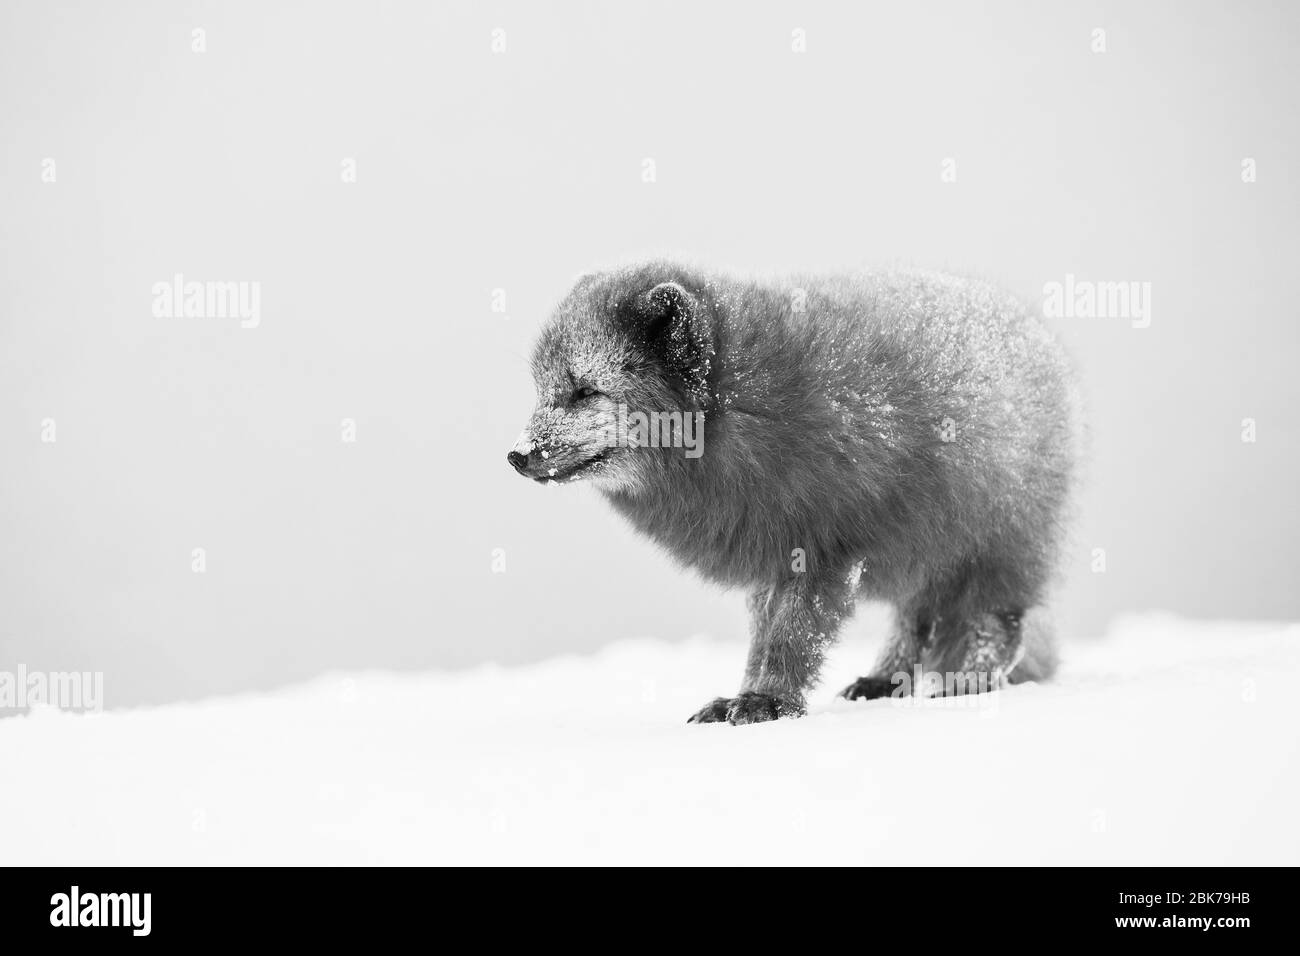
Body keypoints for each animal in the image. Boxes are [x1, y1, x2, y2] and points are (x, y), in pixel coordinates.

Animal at [506, 261, 1076, 723]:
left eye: (585, 390)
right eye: (542, 390)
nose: (517, 455)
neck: (748, 408)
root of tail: (1037, 336)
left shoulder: (823, 551)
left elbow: (793, 636)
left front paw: (768, 703)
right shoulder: (768, 555)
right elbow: (762, 639)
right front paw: (745, 696)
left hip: (989, 551)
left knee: (994, 627)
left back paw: (965, 686)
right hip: (924, 563)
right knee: (916, 624)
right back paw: (884, 682)